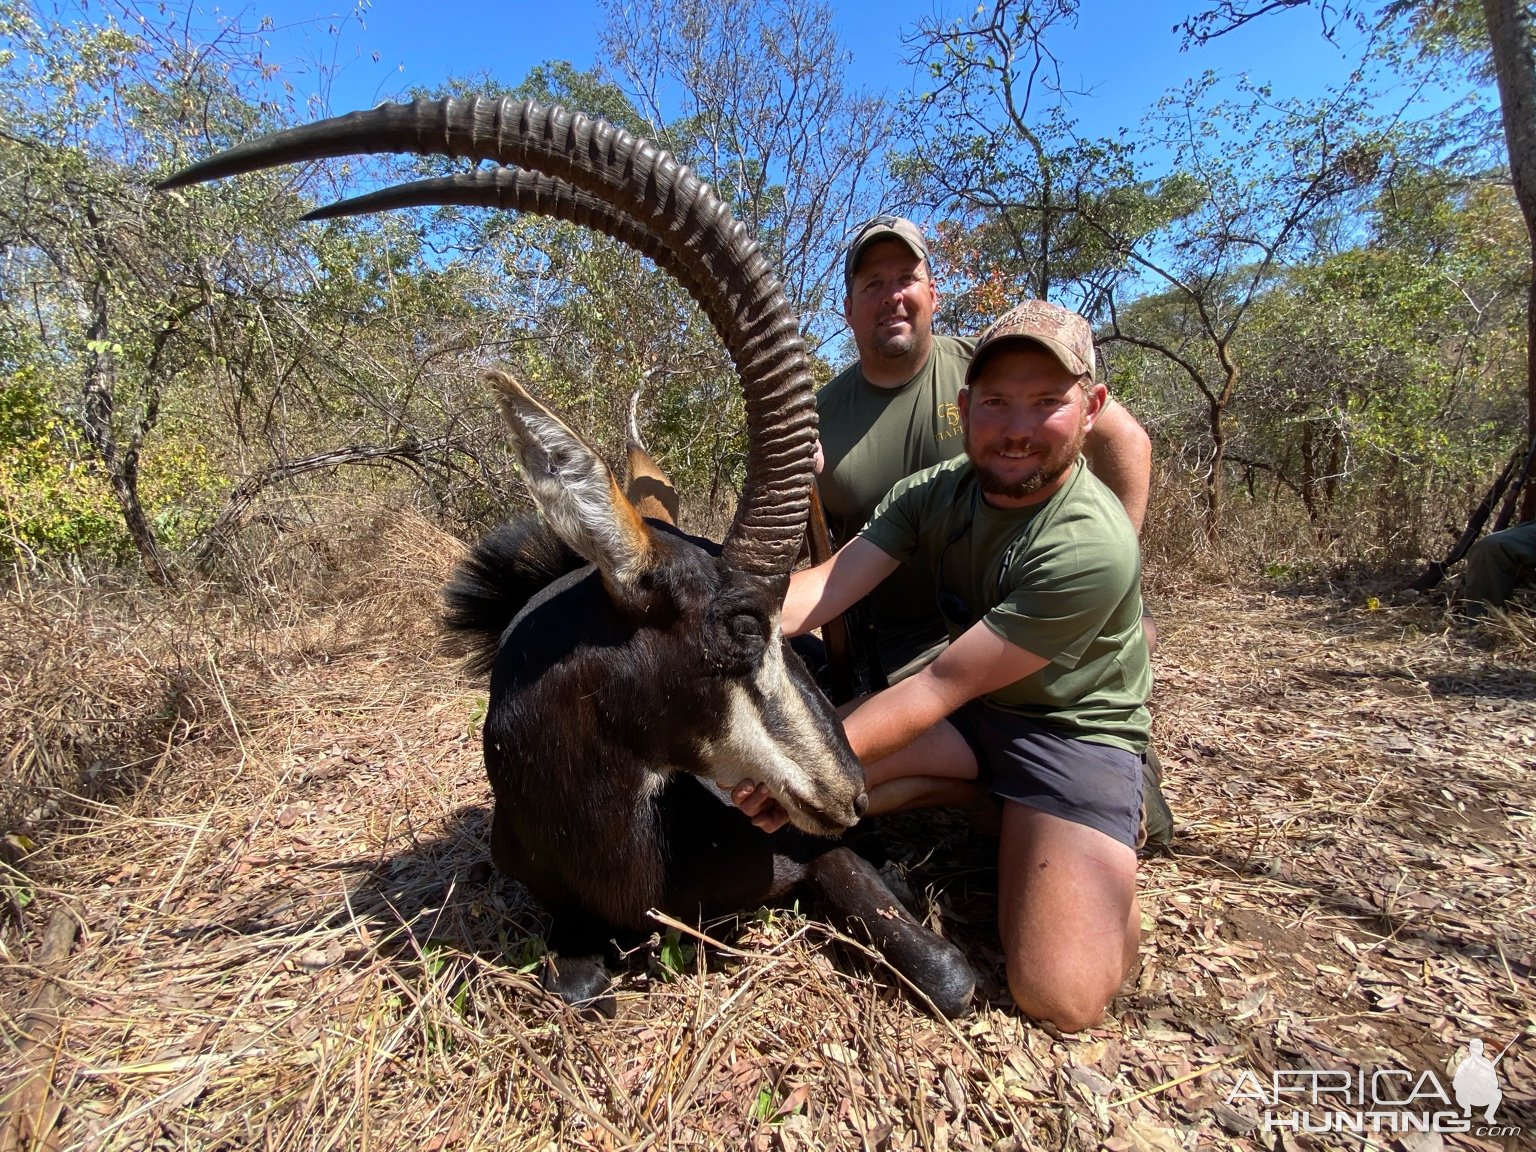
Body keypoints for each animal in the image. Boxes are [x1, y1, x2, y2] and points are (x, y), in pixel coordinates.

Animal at [162, 99, 976, 1019]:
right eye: (741, 624)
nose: (850, 793)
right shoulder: (567, 915)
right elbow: (577, 987)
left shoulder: (817, 856)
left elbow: (949, 979)